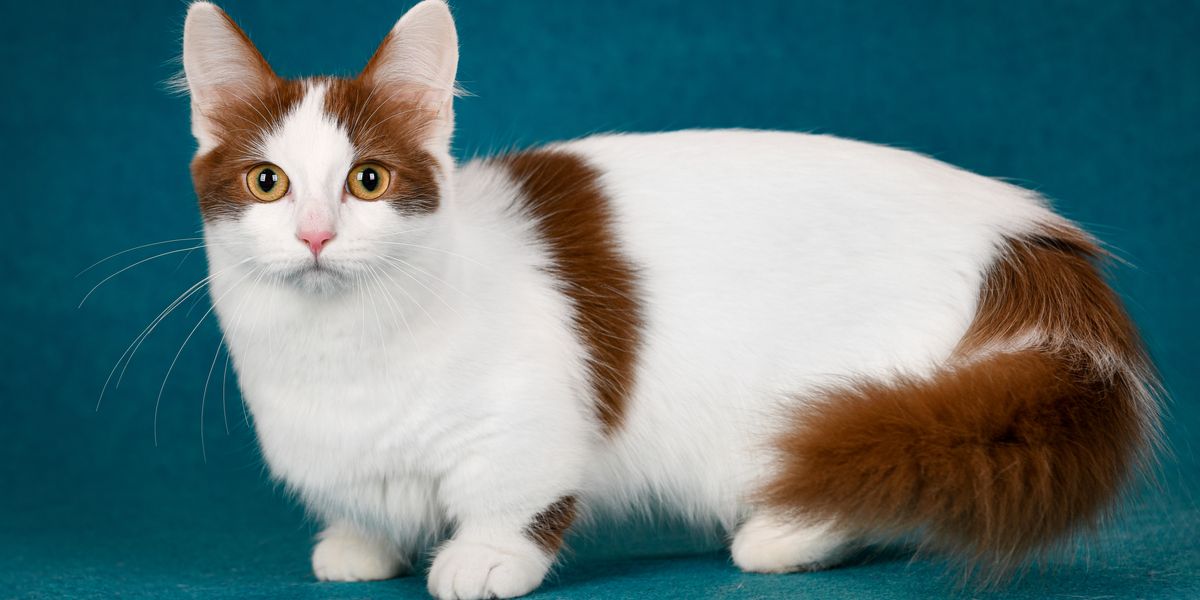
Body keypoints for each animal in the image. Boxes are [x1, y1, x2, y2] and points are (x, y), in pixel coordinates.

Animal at [180, 2, 1161, 597]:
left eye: (369, 181)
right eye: (268, 183)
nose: (315, 235)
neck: (339, 351)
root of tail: (1025, 229)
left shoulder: (533, 420)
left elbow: (515, 497)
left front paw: (482, 558)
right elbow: (361, 503)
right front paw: (359, 546)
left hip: (875, 401)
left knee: (878, 466)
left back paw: (781, 535)